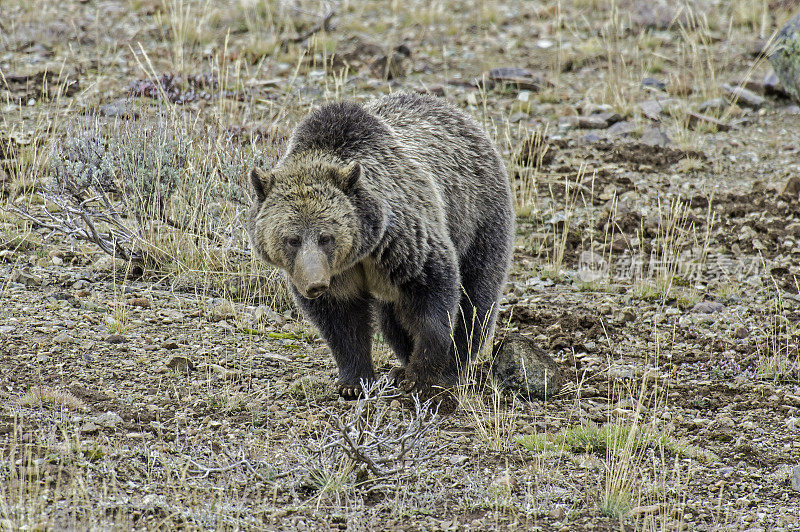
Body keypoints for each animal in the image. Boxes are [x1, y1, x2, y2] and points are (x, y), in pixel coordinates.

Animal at [247, 92, 516, 400]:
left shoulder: (403, 244)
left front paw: (422, 375)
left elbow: (434, 302)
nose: (315, 284)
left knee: (476, 298)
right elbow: (342, 324)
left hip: (477, 218)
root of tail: (460, 114)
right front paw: (353, 382)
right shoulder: (340, 276)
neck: (362, 252)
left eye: (326, 237)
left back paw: (451, 367)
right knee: (391, 318)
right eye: (292, 239)